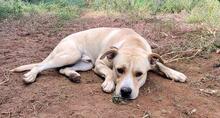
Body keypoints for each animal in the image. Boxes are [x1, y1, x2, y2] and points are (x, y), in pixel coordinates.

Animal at [10, 27, 186, 99]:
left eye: (139, 74)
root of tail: (61, 41)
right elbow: (108, 72)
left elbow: (160, 64)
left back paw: (73, 75)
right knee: (41, 65)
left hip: (85, 63)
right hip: (70, 54)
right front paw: (109, 83)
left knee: (62, 70)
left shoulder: (151, 58)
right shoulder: (100, 64)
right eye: (119, 70)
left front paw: (176, 74)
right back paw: (31, 76)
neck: (132, 44)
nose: (125, 92)